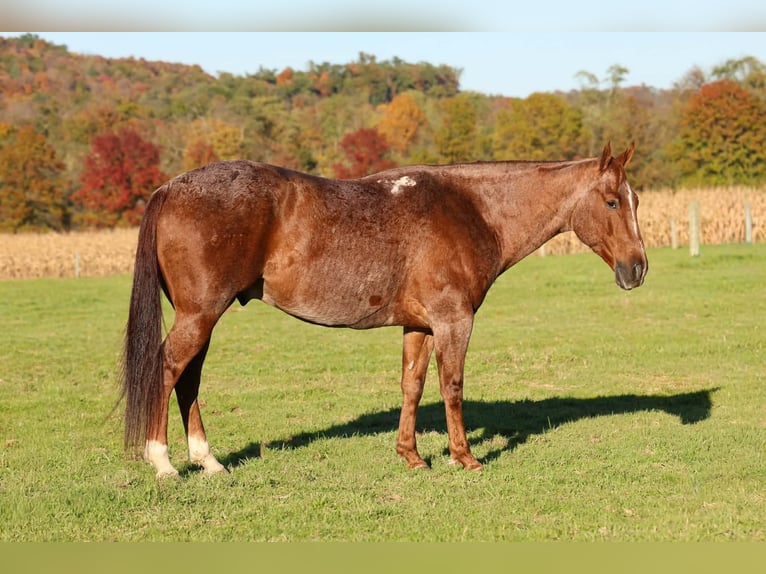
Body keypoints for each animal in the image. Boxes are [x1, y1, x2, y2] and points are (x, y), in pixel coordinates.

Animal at [121, 142, 647, 477]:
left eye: (636, 200)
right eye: (612, 201)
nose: (637, 268)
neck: (472, 210)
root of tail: (169, 189)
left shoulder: (420, 326)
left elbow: (412, 386)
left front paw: (411, 457)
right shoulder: (454, 321)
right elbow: (452, 386)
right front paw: (464, 458)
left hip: (203, 317)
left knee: (189, 378)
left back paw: (208, 461)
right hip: (200, 314)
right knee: (168, 368)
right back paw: (163, 462)